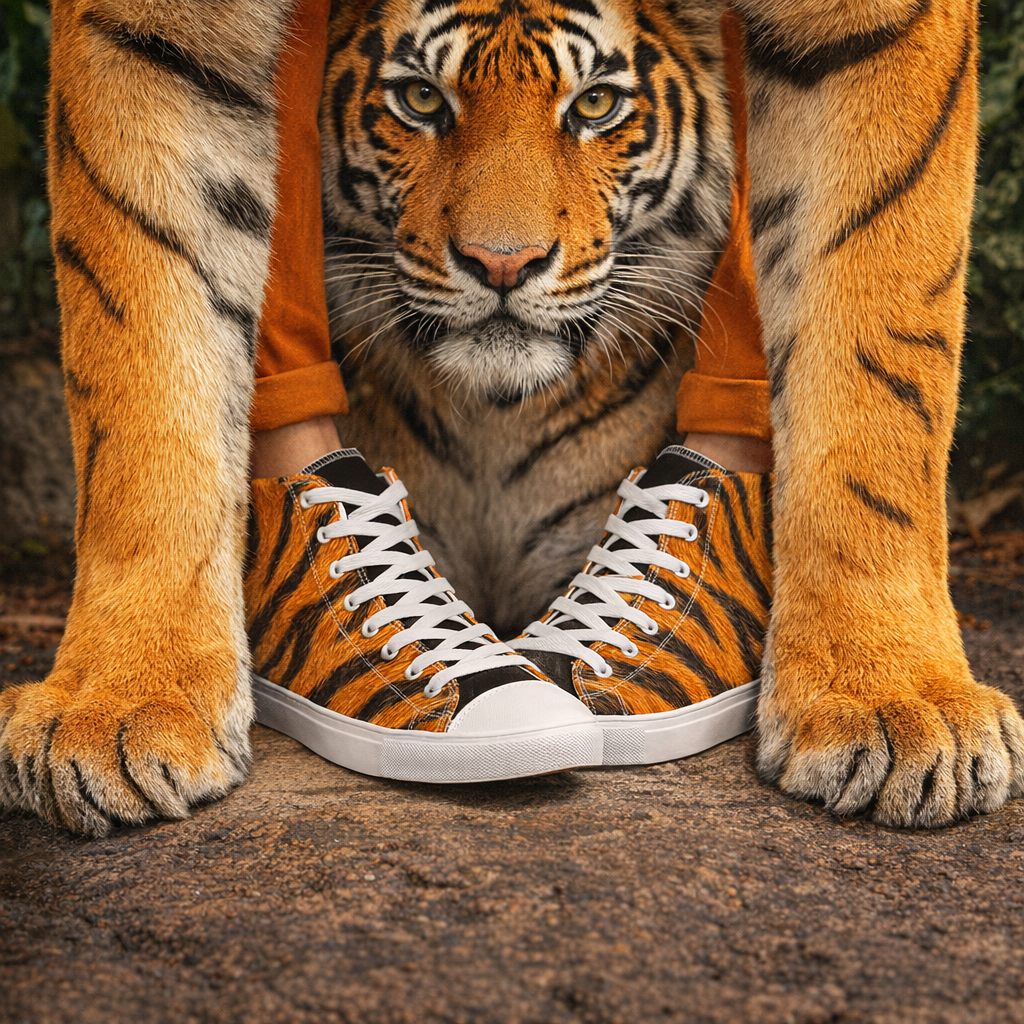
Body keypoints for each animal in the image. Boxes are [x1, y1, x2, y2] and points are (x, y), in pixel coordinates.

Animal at [0, 0, 1020, 835]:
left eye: (597, 106)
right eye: (420, 100)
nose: (503, 264)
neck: (494, 422)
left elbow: (876, 361)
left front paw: (893, 701)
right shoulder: (148, 36)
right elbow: (145, 363)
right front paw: (121, 706)